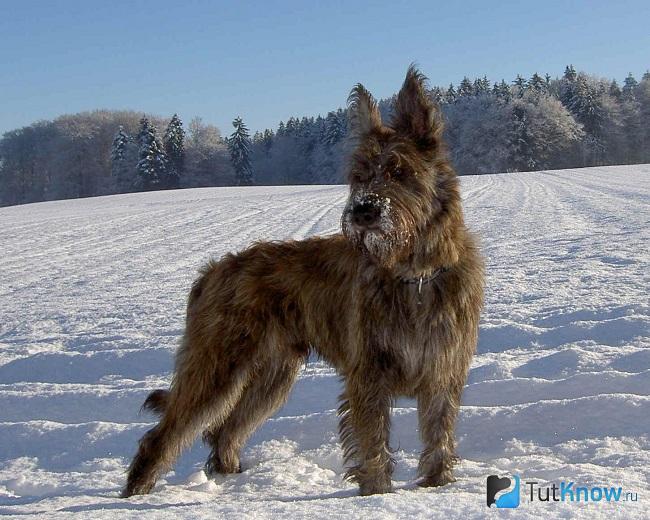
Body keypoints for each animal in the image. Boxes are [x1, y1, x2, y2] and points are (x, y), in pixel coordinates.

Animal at [124, 65, 484, 496]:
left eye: (400, 171)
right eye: (360, 175)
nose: (364, 211)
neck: (412, 275)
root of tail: (212, 271)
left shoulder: (442, 371)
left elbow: (437, 436)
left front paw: (436, 487)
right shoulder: (368, 375)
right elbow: (372, 444)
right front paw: (376, 495)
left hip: (272, 374)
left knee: (225, 429)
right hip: (217, 364)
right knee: (166, 433)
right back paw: (135, 494)